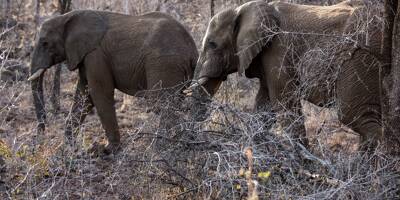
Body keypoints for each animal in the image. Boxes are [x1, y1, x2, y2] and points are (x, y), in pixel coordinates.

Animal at [28, 9, 198, 153]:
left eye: (45, 43)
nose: (41, 136)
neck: (67, 18)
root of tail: (192, 51)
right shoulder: (85, 56)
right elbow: (84, 96)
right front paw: (68, 149)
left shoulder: (95, 54)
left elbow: (99, 94)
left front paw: (108, 150)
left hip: (165, 63)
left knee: (161, 104)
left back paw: (162, 149)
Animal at [185, 0, 384, 150]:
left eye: (212, 44)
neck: (243, 9)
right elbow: (264, 107)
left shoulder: (278, 50)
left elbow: (284, 104)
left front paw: (305, 164)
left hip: (360, 57)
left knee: (355, 115)